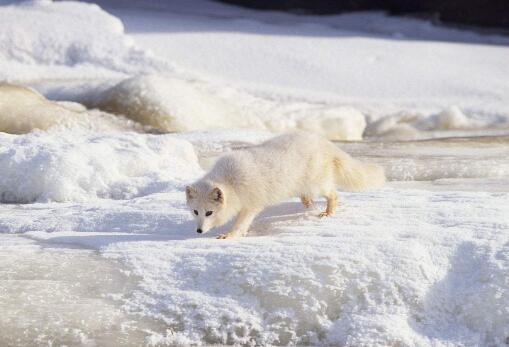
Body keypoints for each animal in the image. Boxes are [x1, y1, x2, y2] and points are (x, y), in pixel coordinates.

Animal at [185, 131, 382, 239]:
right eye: (195, 211)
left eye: (209, 212)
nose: (199, 231)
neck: (231, 182)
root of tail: (322, 141)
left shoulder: (252, 204)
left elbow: (240, 223)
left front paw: (229, 235)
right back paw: (307, 205)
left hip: (316, 184)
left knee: (334, 194)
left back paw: (327, 212)